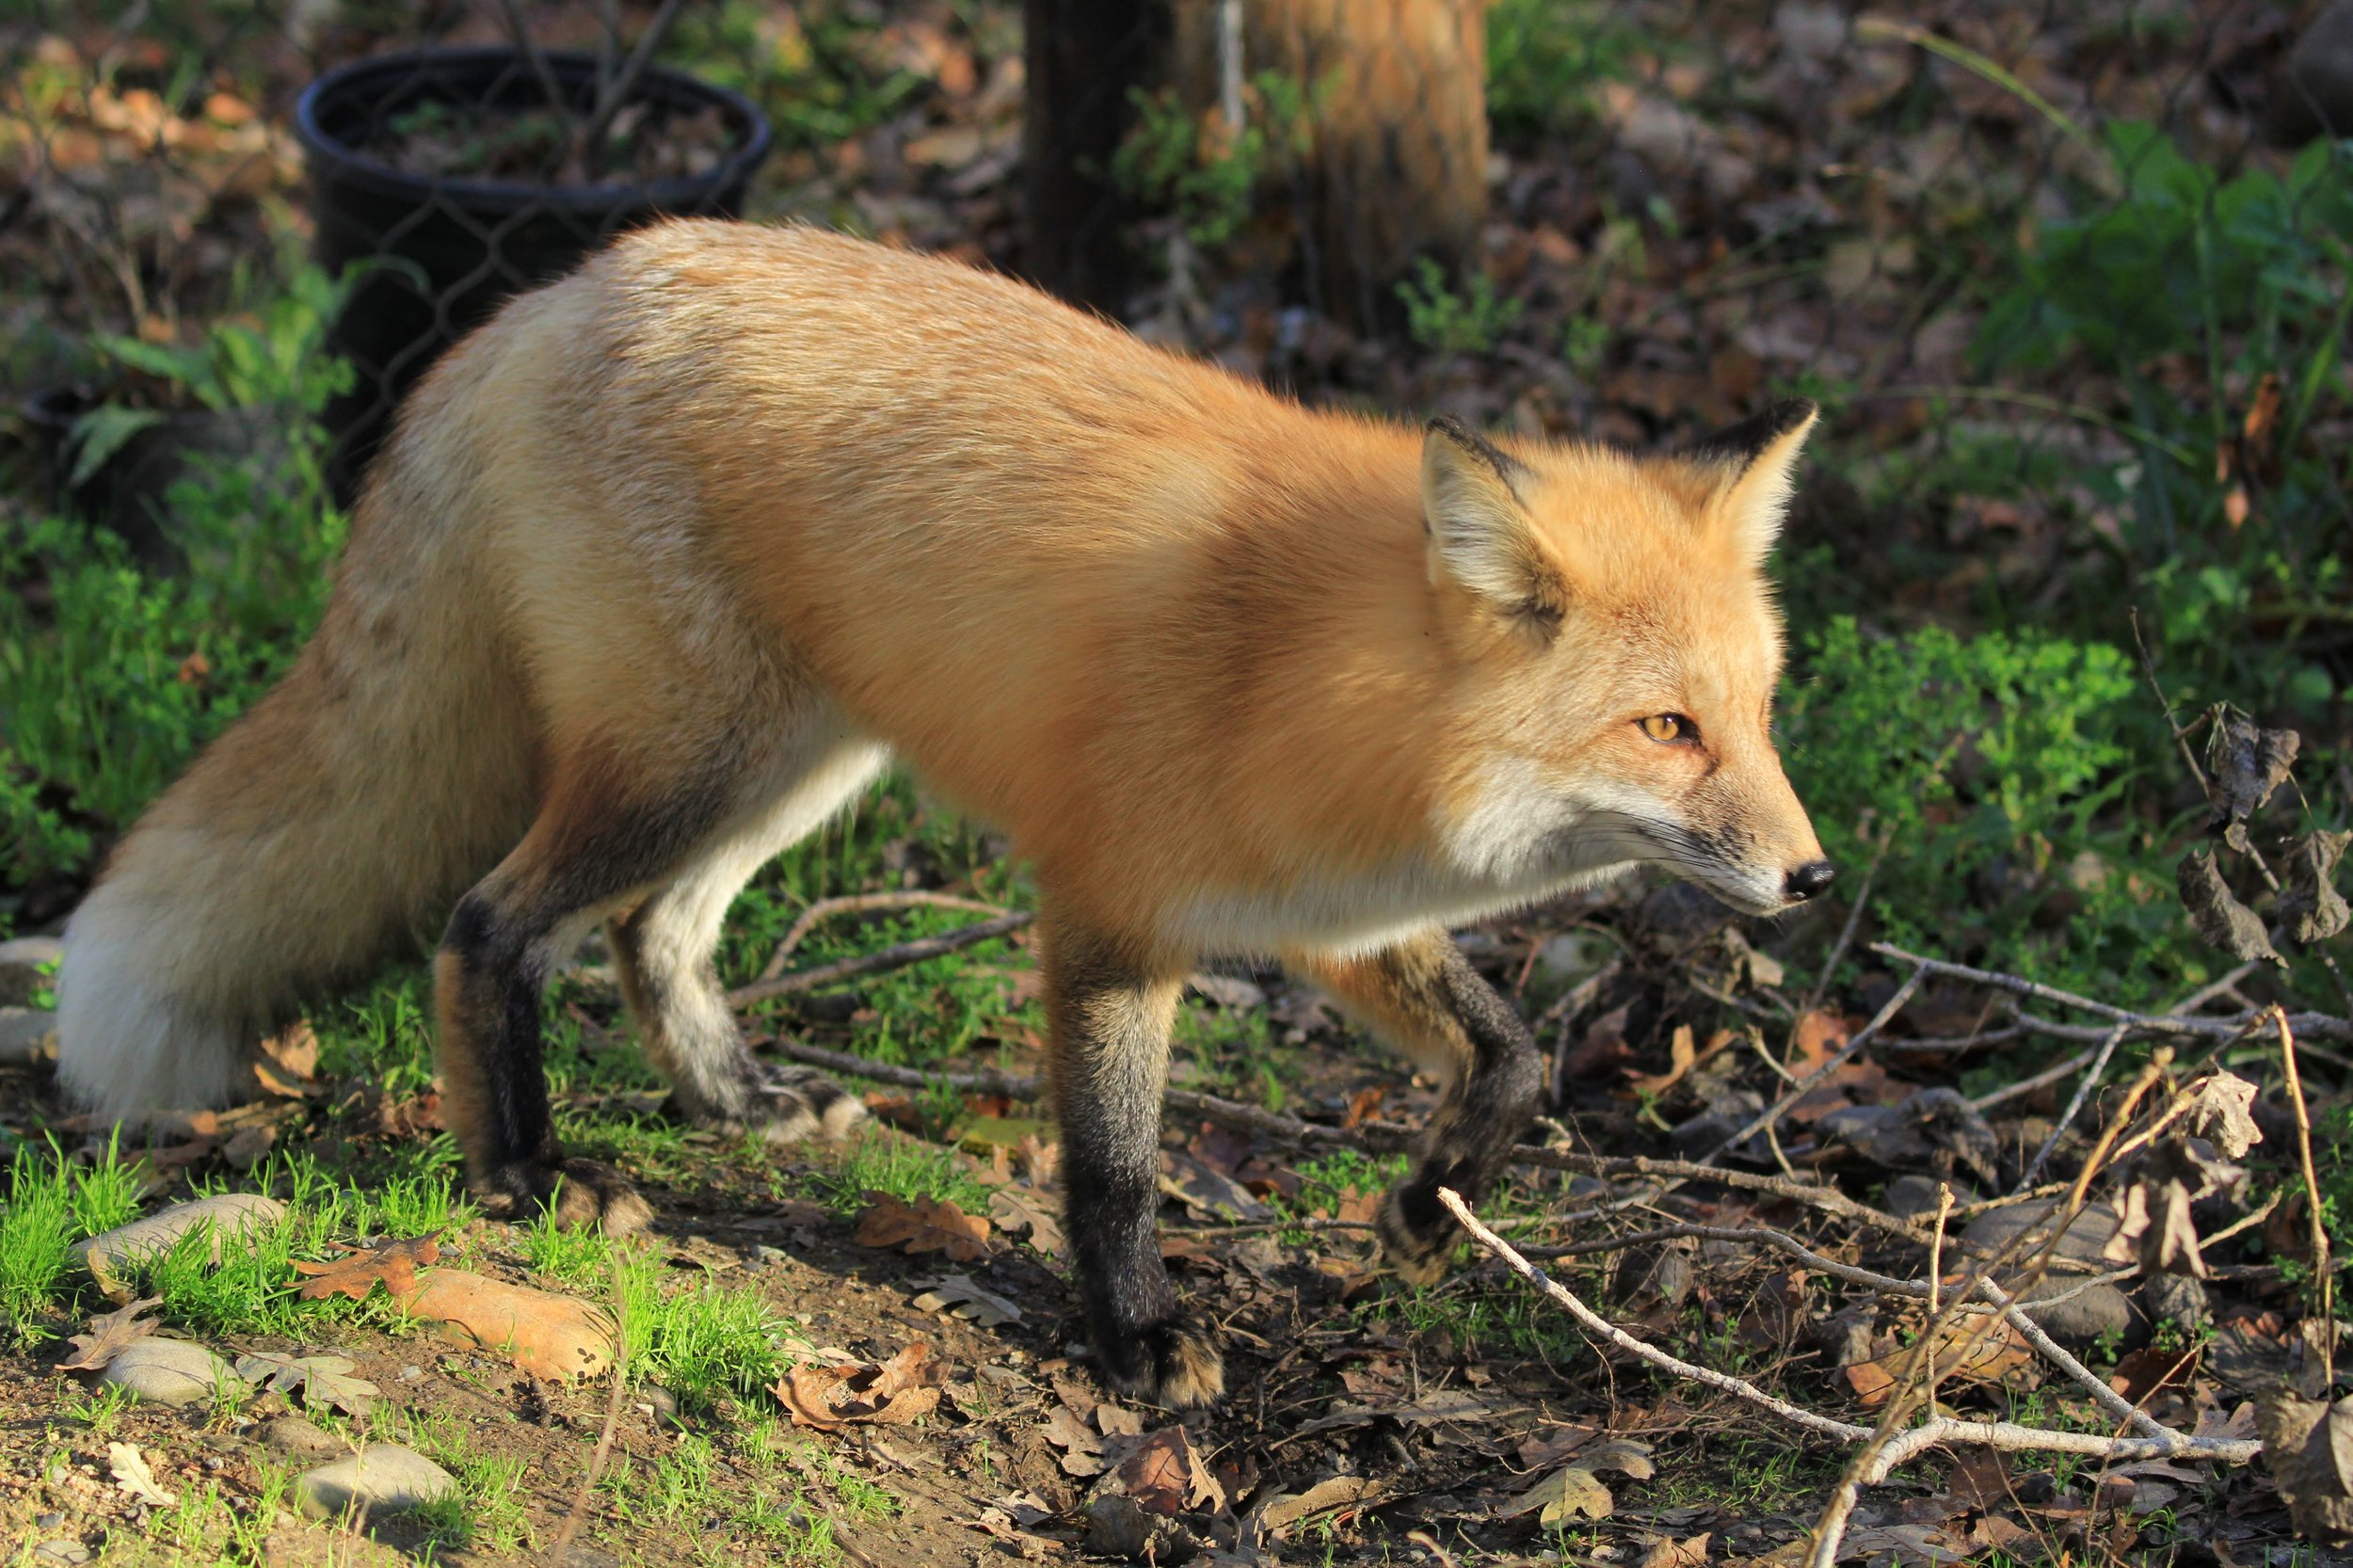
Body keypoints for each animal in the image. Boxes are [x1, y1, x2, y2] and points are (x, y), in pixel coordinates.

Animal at [55, 220, 1830, 1407]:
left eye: (1758, 713)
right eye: (1665, 729)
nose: (1814, 879)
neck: (1305, 676)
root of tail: (559, 286)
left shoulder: (1324, 915)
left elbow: (1511, 1055)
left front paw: (1422, 1211)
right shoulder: (1109, 910)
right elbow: (1112, 1170)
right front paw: (1138, 1339)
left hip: (796, 761)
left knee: (652, 931)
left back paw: (738, 1101)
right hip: (690, 760)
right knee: (489, 926)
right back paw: (523, 1169)